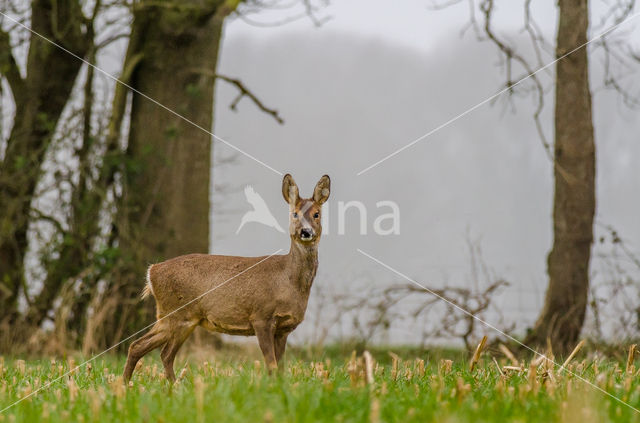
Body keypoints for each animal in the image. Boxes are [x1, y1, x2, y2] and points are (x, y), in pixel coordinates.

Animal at [123, 174, 330, 382]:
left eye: (317, 214)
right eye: (294, 214)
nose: (305, 232)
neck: (288, 282)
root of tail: (152, 271)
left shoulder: (284, 329)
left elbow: (280, 369)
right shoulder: (261, 317)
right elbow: (271, 365)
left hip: (173, 317)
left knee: (142, 347)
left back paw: (133, 384)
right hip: (179, 314)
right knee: (160, 352)